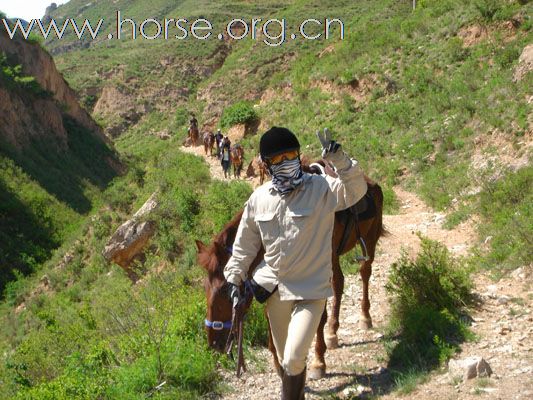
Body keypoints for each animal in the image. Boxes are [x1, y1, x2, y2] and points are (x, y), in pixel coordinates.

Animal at [194, 162, 382, 378]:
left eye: (225, 290)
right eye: (205, 288)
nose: (213, 342)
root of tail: (371, 183)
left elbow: (318, 315)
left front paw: (318, 362)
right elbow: (271, 314)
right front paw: (278, 362)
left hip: (369, 240)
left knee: (365, 272)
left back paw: (365, 318)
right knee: (339, 282)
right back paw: (333, 334)